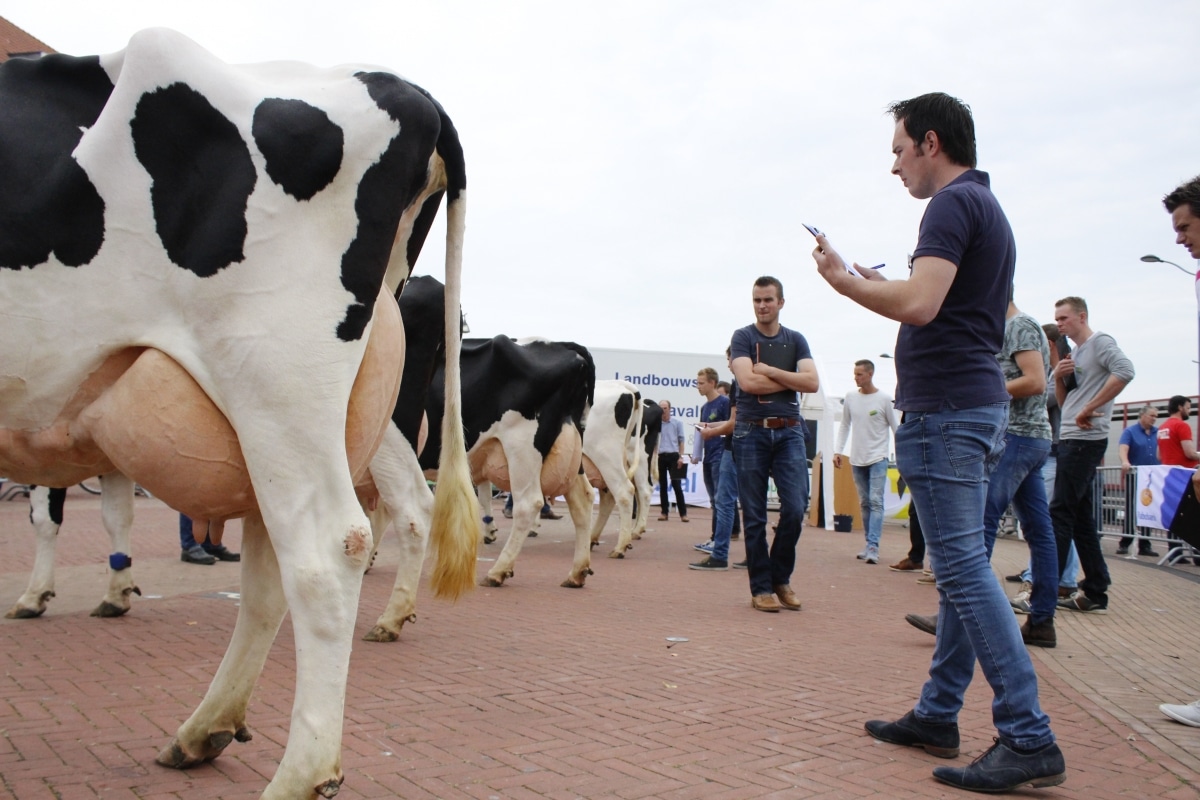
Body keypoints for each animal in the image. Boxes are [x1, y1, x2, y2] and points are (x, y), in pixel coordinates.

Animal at [0, 28, 477, 796]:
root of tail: (406, 90)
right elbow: (113, 511)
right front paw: (115, 586)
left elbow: (50, 512)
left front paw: (48, 594)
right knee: (290, 555)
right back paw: (208, 728)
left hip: (275, 374)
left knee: (329, 548)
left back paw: (299, 771)